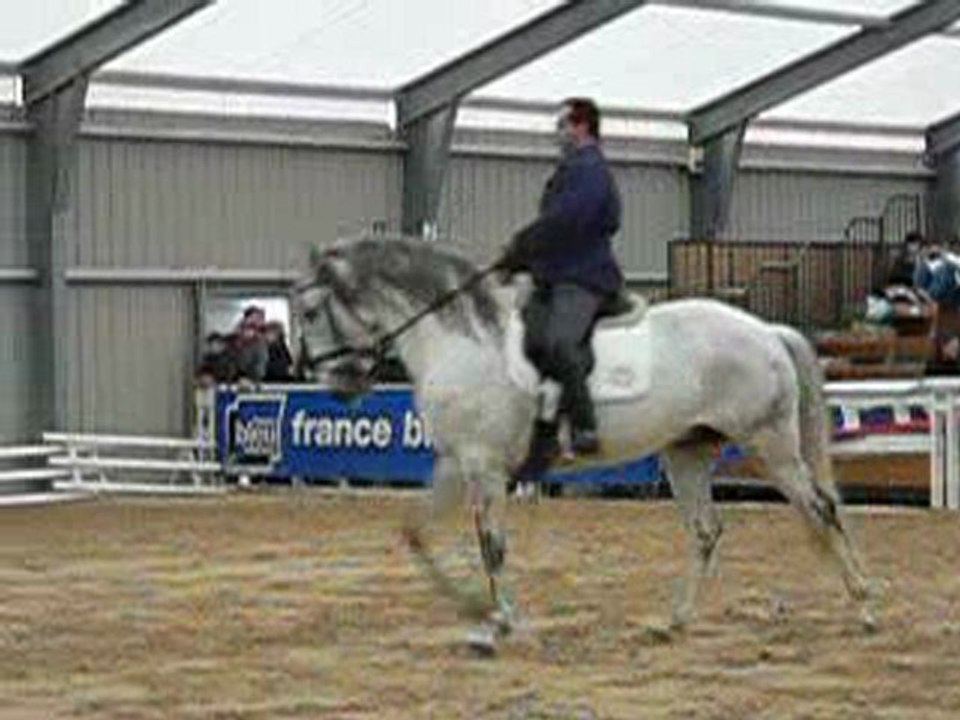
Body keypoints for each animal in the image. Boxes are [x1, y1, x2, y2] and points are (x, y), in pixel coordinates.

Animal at [293, 233, 874, 654]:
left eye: (309, 313)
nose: (339, 384)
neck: (461, 340)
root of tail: (768, 331)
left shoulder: (483, 467)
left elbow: (491, 546)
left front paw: (497, 623)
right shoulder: (456, 463)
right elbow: (416, 534)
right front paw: (478, 612)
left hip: (769, 444)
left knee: (820, 511)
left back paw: (864, 607)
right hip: (686, 452)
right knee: (707, 531)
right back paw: (673, 622)